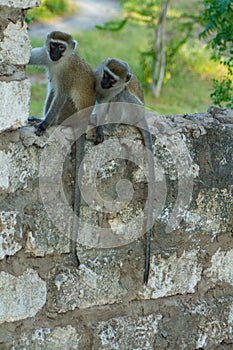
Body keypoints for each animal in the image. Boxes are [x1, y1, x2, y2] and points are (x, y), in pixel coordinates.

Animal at [27, 31, 96, 262]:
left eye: (61, 47)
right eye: (53, 45)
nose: (55, 53)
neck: (60, 63)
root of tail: (82, 122)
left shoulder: (67, 75)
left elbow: (61, 95)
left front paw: (44, 124)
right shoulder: (46, 57)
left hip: (70, 112)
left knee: (60, 95)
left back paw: (51, 123)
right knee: (51, 88)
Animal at [92, 56, 155, 282]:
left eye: (111, 79)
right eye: (105, 75)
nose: (104, 83)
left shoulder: (116, 90)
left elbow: (115, 96)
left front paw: (101, 126)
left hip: (133, 109)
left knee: (122, 97)